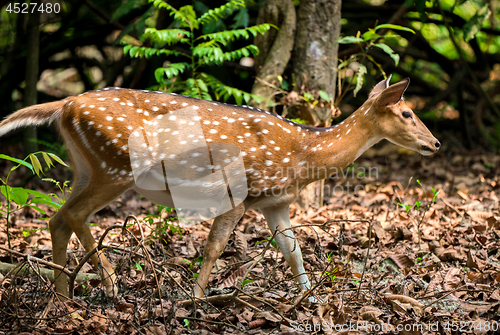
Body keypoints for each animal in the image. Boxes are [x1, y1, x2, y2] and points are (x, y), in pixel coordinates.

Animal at [0, 77, 438, 300]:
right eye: (407, 112)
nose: (434, 144)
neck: (302, 152)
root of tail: (65, 104)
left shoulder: (273, 201)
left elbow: (293, 252)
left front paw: (312, 302)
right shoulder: (237, 194)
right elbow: (213, 247)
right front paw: (193, 300)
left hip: (85, 166)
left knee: (57, 218)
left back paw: (63, 299)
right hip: (116, 165)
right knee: (72, 215)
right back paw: (108, 283)